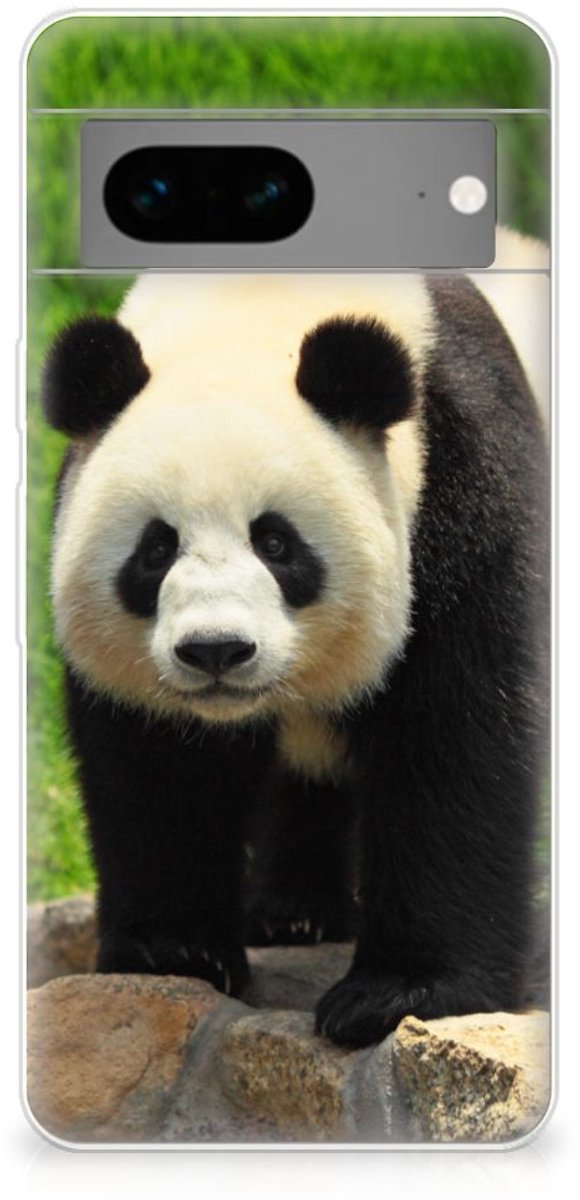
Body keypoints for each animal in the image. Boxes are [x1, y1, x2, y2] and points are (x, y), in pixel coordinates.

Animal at [41, 230, 549, 1049]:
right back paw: (293, 912)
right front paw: (174, 950)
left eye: (277, 543)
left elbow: (458, 732)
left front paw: (399, 992)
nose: (215, 651)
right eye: (156, 549)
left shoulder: (465, 476)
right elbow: (158, 761)